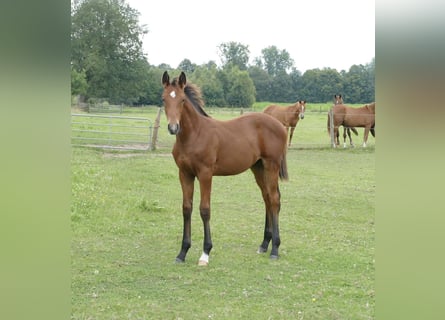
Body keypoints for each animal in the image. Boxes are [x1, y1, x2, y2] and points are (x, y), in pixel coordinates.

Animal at [161, 71, 290, 266]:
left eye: (182, 100)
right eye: (163, 99)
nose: (173, 127)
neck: (194, 135)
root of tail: (280, 125)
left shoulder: (205, 174)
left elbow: (205, 209)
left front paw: (205, 253)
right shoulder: (184, 174)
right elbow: (186, 208)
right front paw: (182, 253)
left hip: (271, 165)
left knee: (274, 200)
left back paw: (275, 248)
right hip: (258, 168)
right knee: (268, 198)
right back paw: (264, 244)